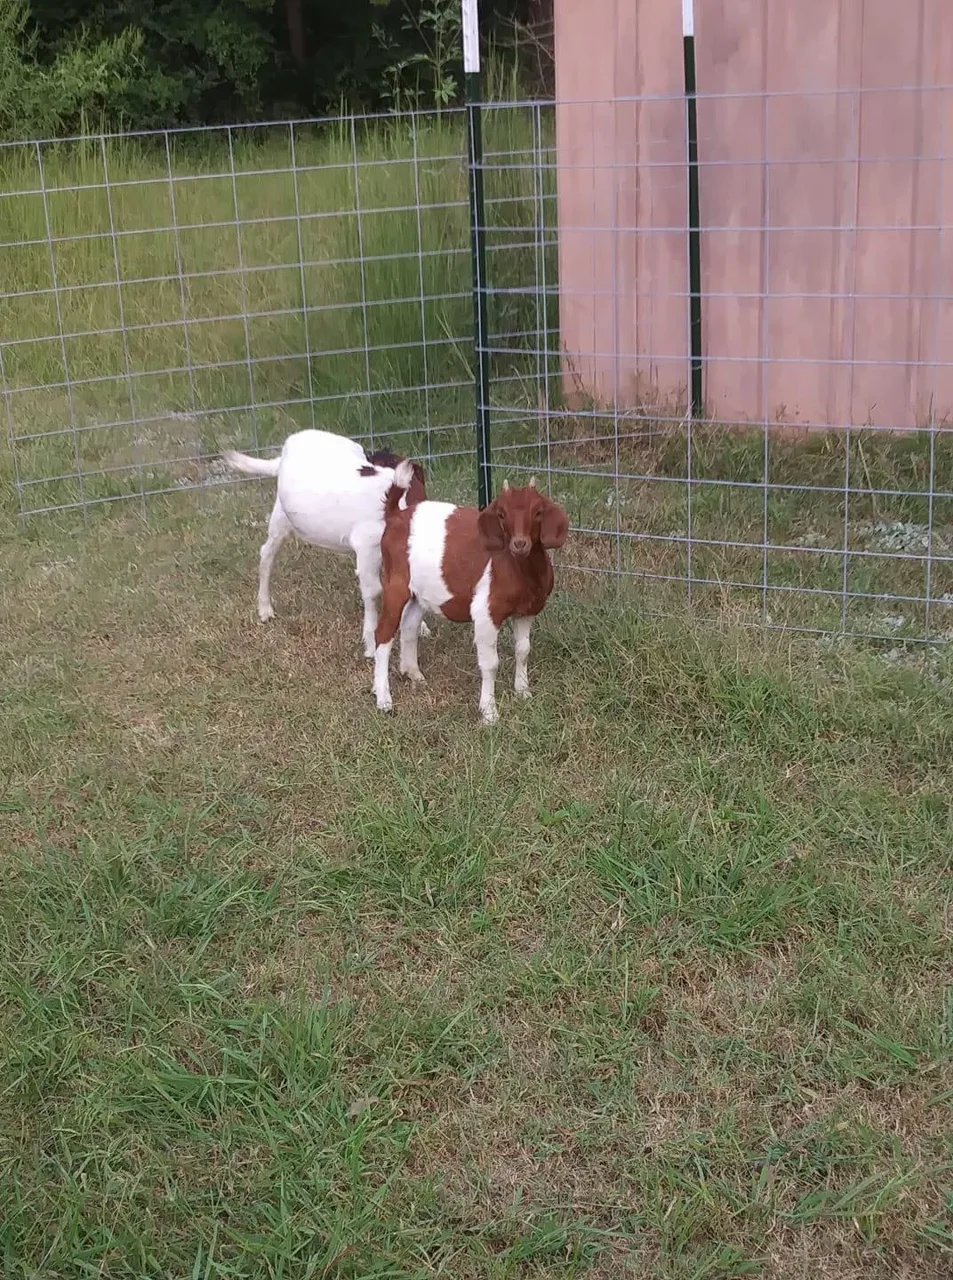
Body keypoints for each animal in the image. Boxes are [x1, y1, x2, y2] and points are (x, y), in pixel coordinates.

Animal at [222, 429, 428, 656]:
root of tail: (286, 449)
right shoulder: (366, 545)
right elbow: (374, 591)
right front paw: (370, 644)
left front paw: (420, 626)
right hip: (281, 515)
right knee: (267, 553)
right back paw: (265, 609)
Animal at [372, 465, 569, 723]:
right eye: (501, 514)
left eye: (538, 512)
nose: (519, 544)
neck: (518, 568)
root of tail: (395, 515)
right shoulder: (486, 612)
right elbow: (490, 664)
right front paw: (489, 712)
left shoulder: (526, 611)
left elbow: (523, 650)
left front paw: (523, 692)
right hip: (395, 583)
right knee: (383, 634)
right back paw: (384, 699)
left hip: (418, 592)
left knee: (409, 625)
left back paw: (413, 673)